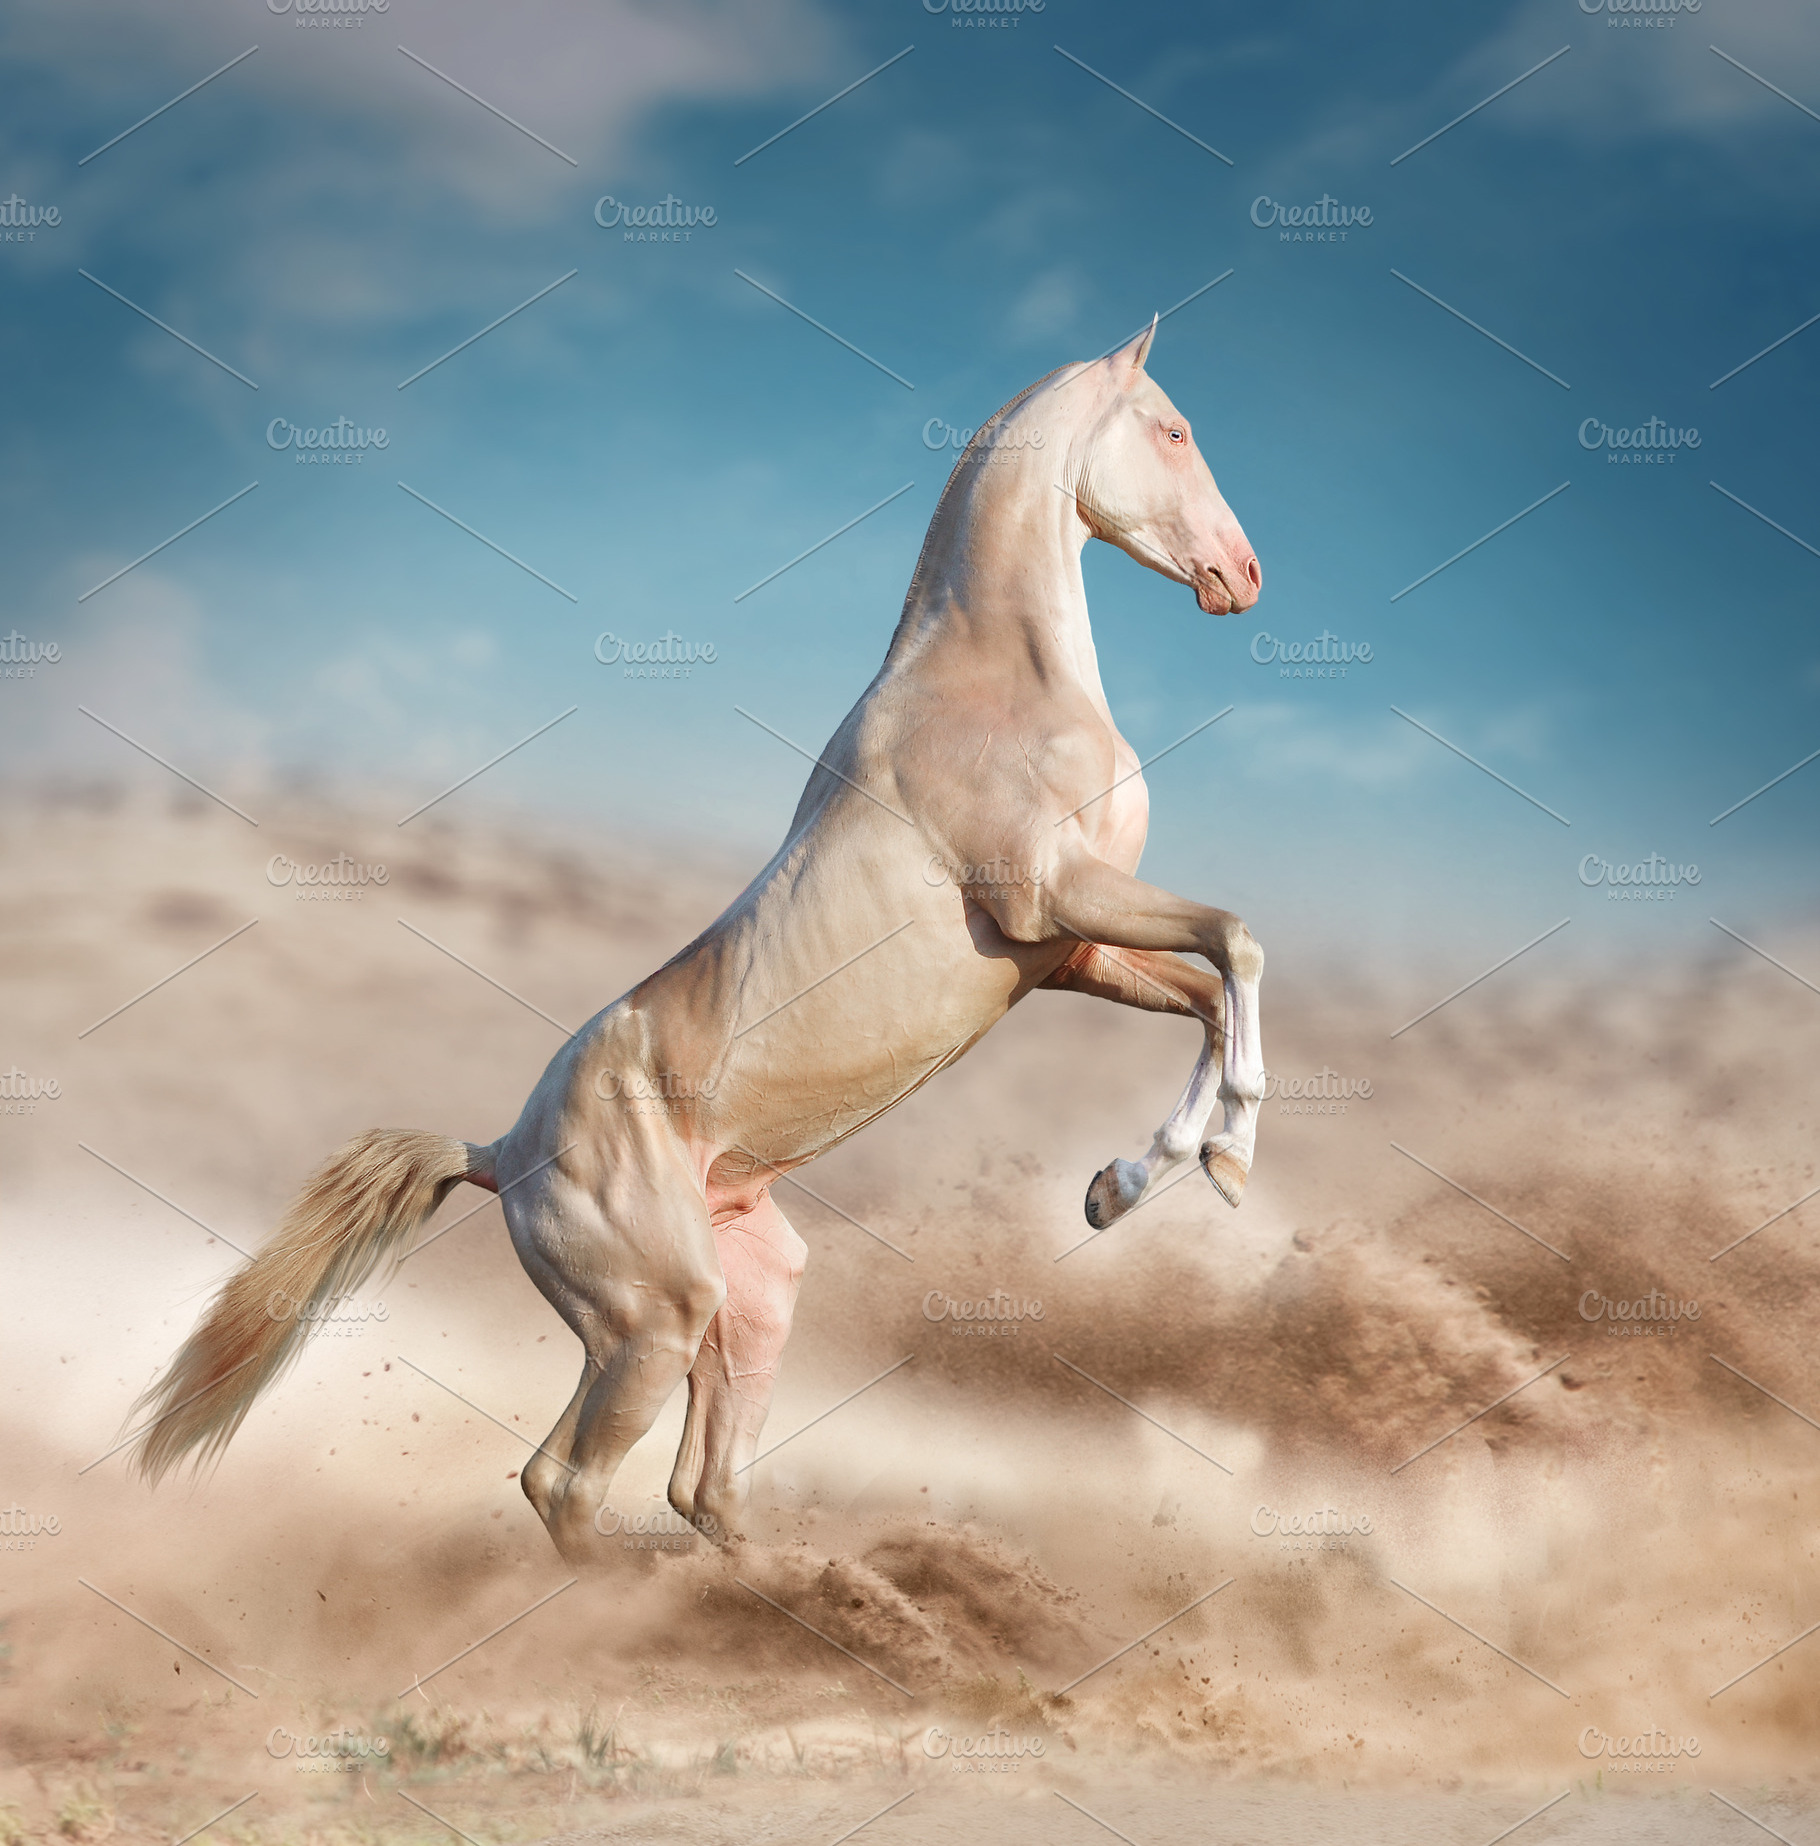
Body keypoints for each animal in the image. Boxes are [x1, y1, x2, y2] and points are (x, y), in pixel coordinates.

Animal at [129, 321, 1265, 1559]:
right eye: (1173, 429)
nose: (1243, 575)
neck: (993, 684)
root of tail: (500, 1154)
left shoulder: (1066, 955)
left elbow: (1207, 988)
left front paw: (1129, 1183)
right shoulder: (1055, 899)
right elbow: (1237, 944)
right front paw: (1219, 1157)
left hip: (743, 1302)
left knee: (692, 1486)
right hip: (654, 1320)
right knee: (569, 1483)